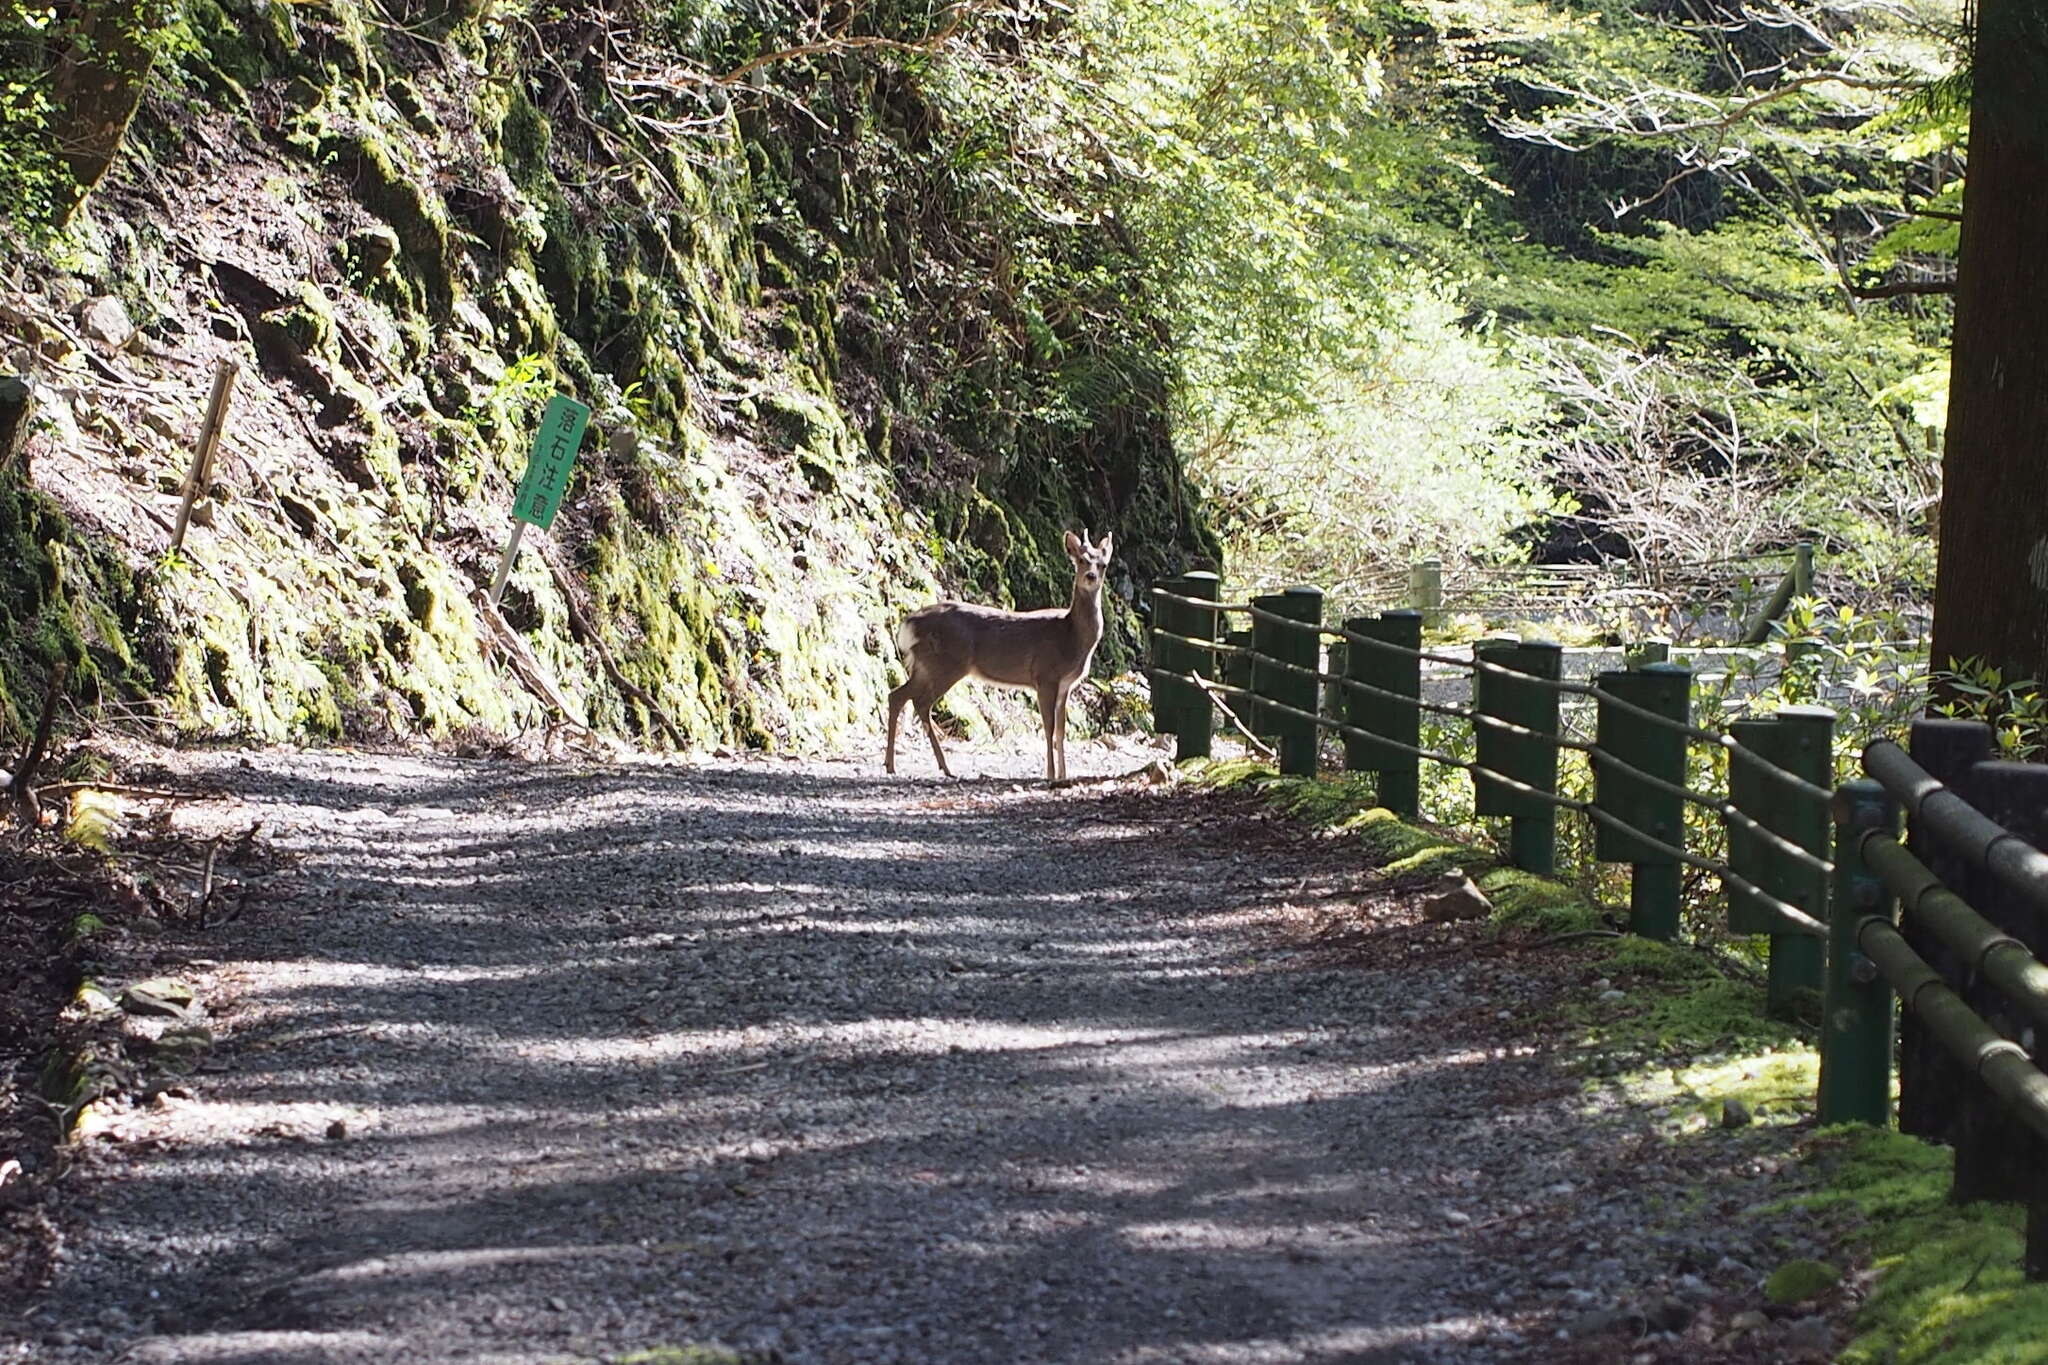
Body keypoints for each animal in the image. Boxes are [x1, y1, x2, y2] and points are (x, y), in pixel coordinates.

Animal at [884, 536, 1114, 789]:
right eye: (1081, 560)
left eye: (1103, 564)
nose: (1090, 576)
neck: (1071, 636)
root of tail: (908, 624)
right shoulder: (1045, 676)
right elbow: (1049, 727)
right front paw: (1051, 774)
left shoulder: (1065, 685)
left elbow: (1062, 730)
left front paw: (1064, 774)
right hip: (945, 664)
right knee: (919, 701)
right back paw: (933, 766)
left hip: (925, 665)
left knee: (898, 696)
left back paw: (899, 764)